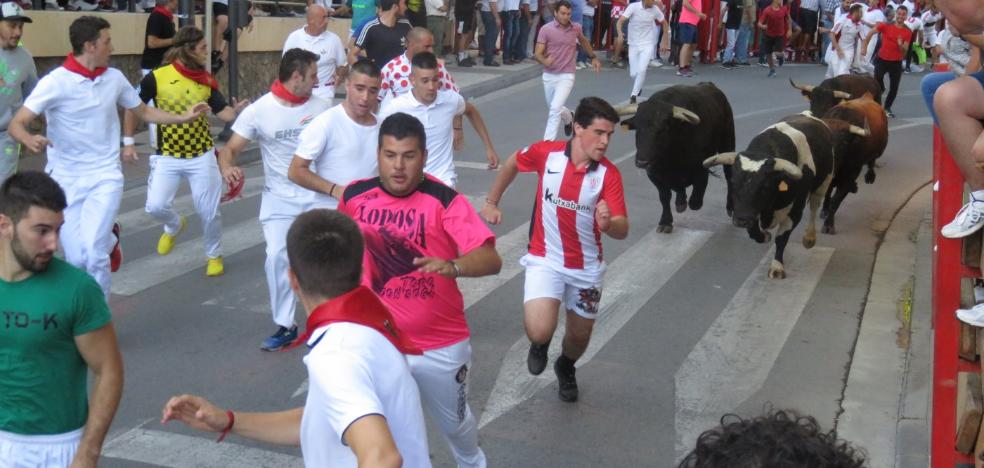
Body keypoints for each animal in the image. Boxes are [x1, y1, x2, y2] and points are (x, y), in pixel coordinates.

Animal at [620, 83, 736, 234]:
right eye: (637, 128)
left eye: (663, 129)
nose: (642, 162)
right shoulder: (655, 175)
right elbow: (665, 197)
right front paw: (665, 221)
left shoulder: (700, 168)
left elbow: (697, 196)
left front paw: (691, 202)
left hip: (727, 143)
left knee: (729, 175)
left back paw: (730, 208)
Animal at [704, 114, 836, 280]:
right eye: (733, 182)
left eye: (764, 186)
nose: (741, 220)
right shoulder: (751, 210)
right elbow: (754, 232)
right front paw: (764, 236)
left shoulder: (795, 212)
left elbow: (781, 239)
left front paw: (777, 267)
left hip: (824, 183)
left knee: (814, 206)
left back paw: (809, 238)